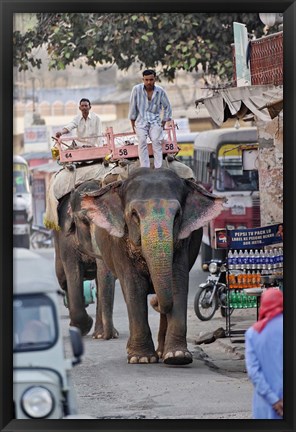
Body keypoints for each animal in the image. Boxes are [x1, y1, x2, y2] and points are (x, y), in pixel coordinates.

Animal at [70, 167, 222, 362]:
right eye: (134, 214)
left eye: (177, 215)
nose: (154, 301)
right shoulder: (118, 243)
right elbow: (134, 286)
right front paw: (142, 358)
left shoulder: (184, 242)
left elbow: (177, 282)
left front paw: (178, 356)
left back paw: (162, 353)